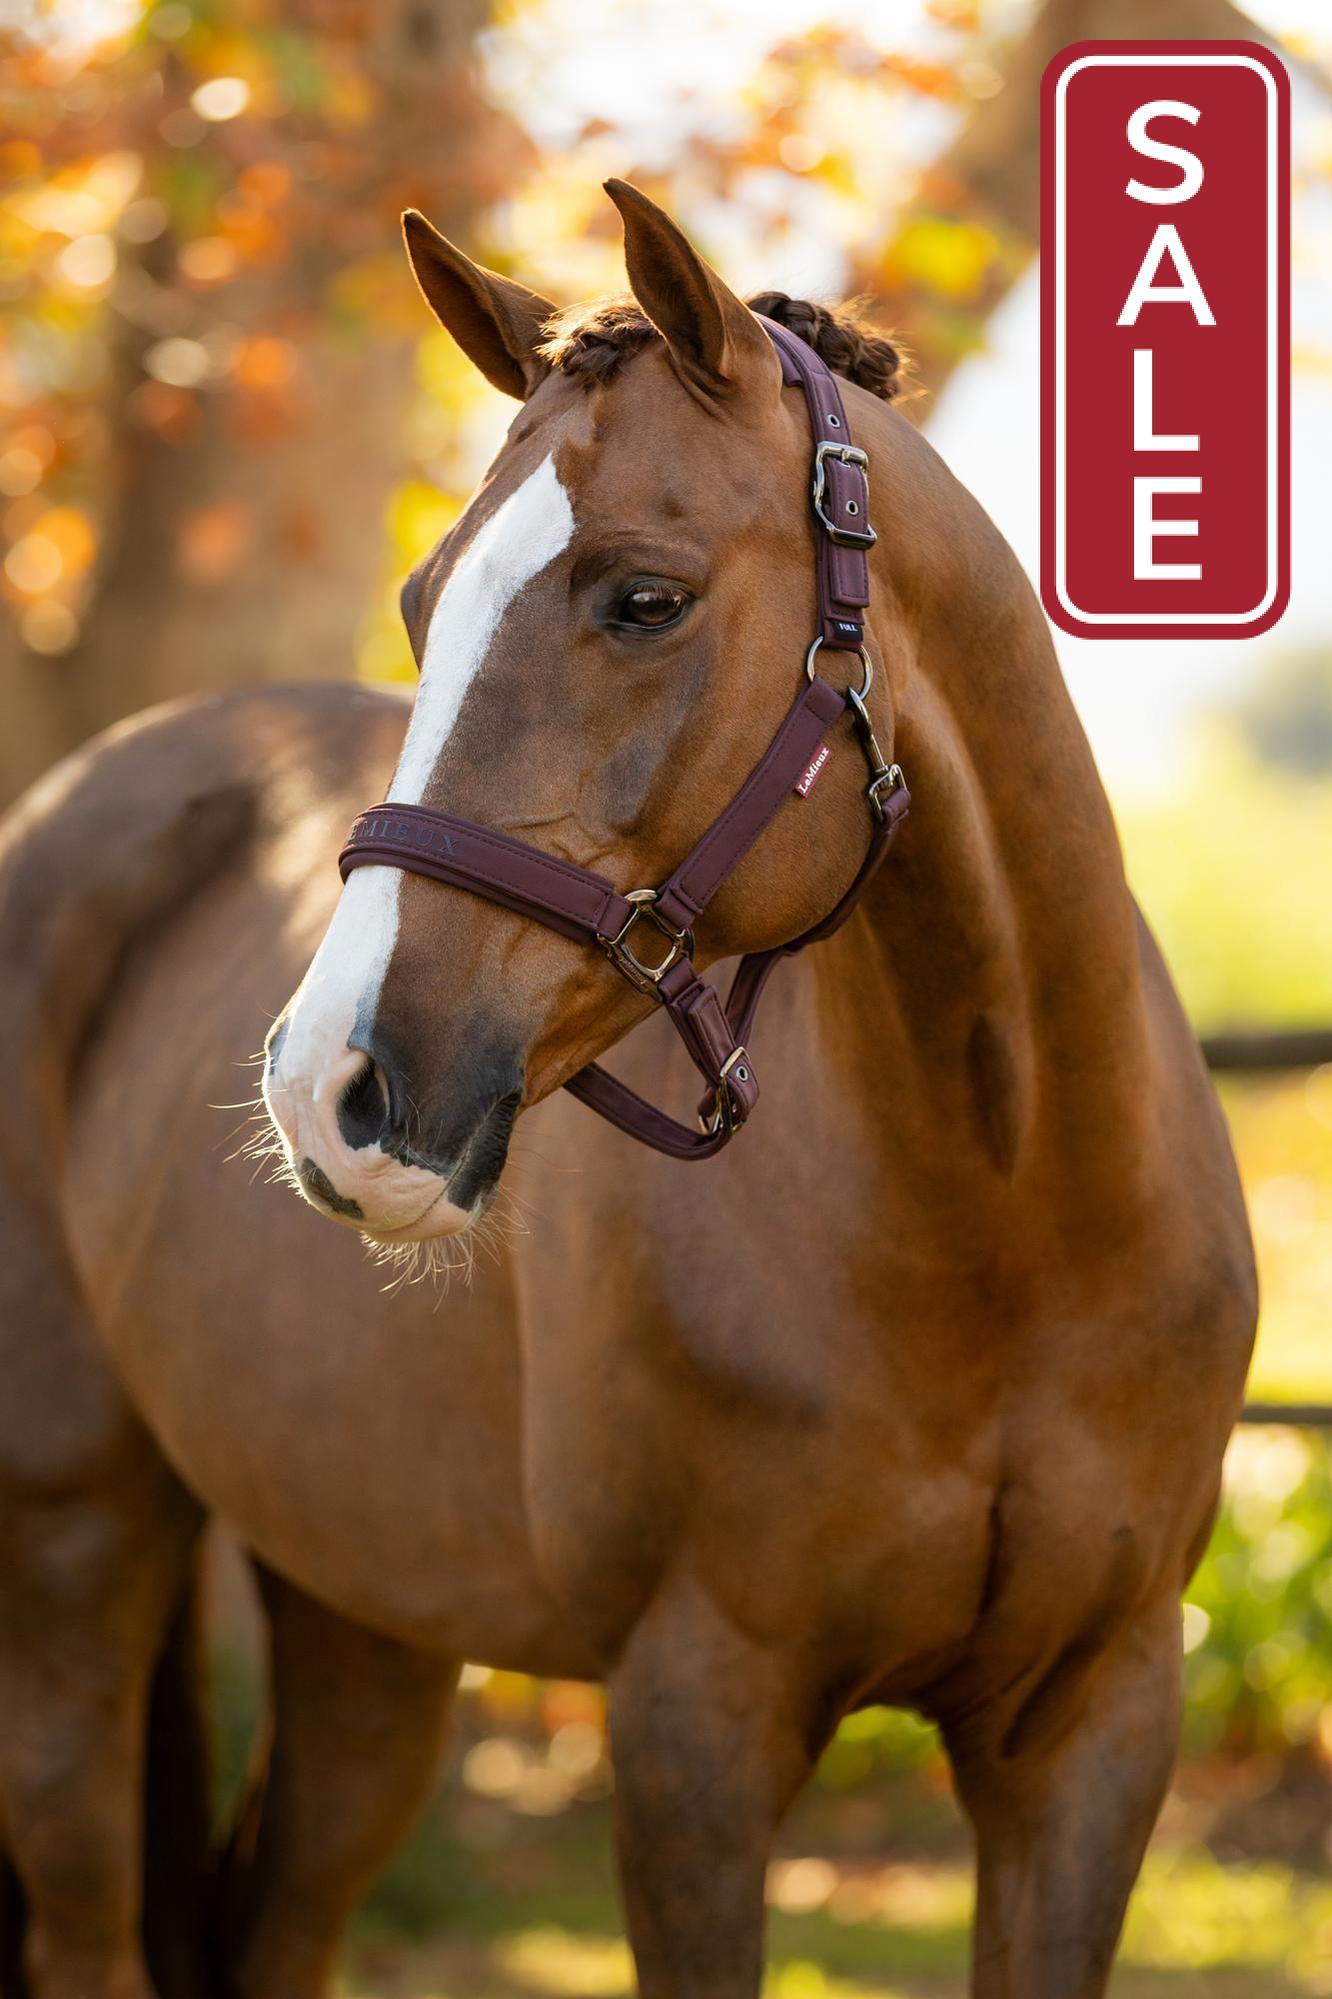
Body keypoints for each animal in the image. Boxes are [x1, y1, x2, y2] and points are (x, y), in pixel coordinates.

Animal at [0, 180, 1256, 1999]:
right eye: (420, 603)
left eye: (645, 598)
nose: (329, 1086)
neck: (1014, 1220)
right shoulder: (692, 1729)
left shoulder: (1091, 1727)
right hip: (76, 1551)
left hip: (365, 1612)